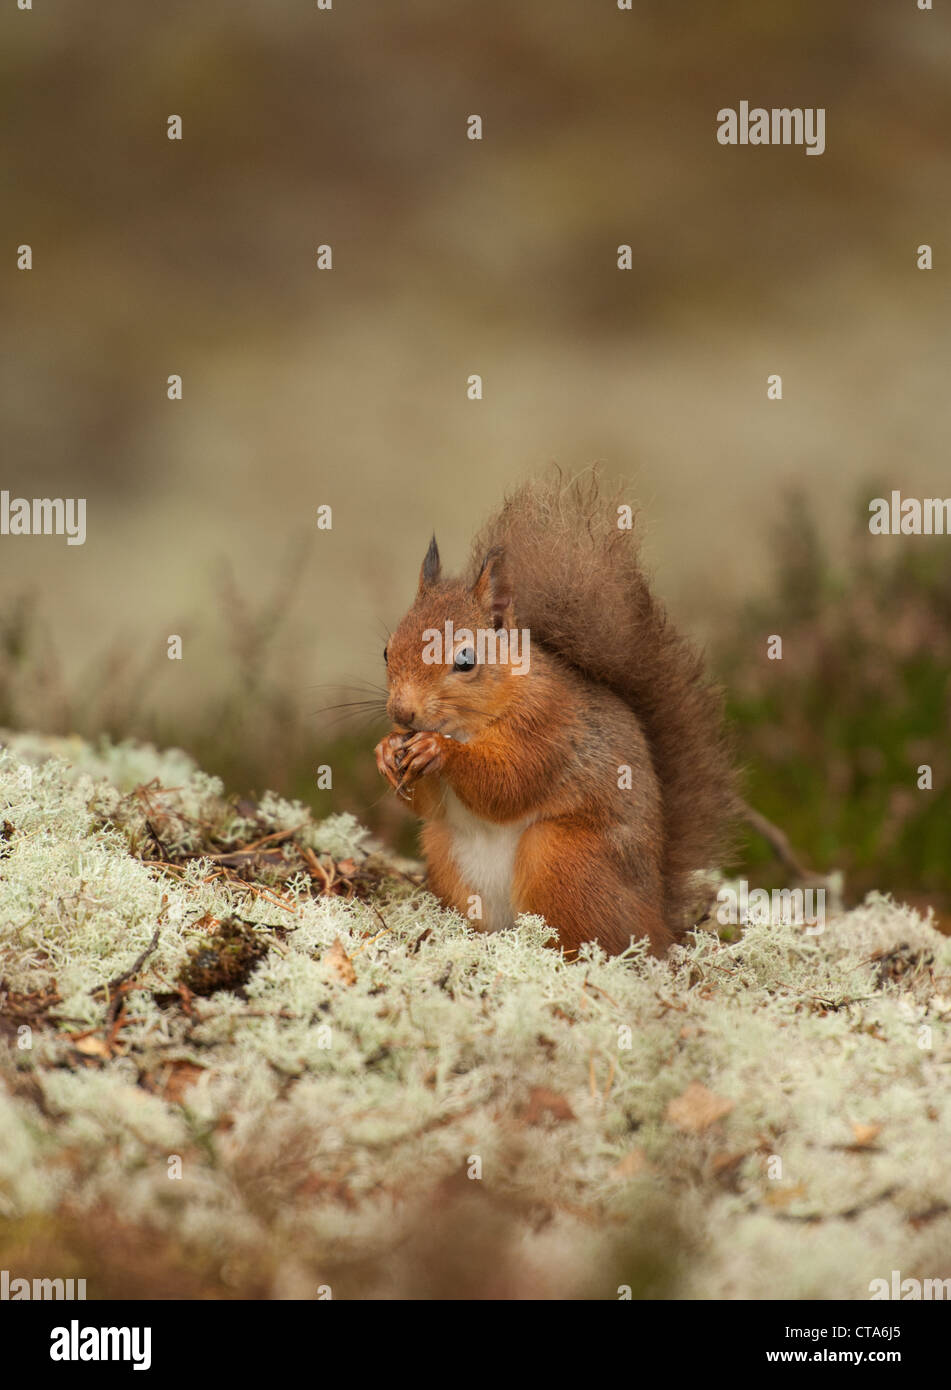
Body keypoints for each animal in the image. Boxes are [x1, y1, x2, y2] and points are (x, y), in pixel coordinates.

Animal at [374, 472, 733, 958]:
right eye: (387, 651)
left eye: (466, 660)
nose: (402, 711)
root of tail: (658, 921)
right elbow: (429, 806)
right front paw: (386, 749)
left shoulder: (549, 724)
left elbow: (509, 782)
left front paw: (438, 750)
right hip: (445, 852)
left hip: (560, 857)